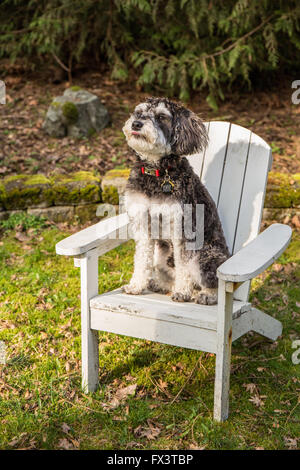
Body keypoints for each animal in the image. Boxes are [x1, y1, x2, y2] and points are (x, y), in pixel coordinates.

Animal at [120, 97, 229, 306]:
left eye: (162, 117)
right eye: (139, 112)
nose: (136, 124)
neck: (156, 173)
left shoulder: (183, 228)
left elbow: (183, 265)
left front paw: (182, 292)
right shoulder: (143, 224)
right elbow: (142, 259)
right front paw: (136, 285)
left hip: (204, 256)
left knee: (212, 282)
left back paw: (205, 295)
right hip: (161, 255)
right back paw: (160, 284)